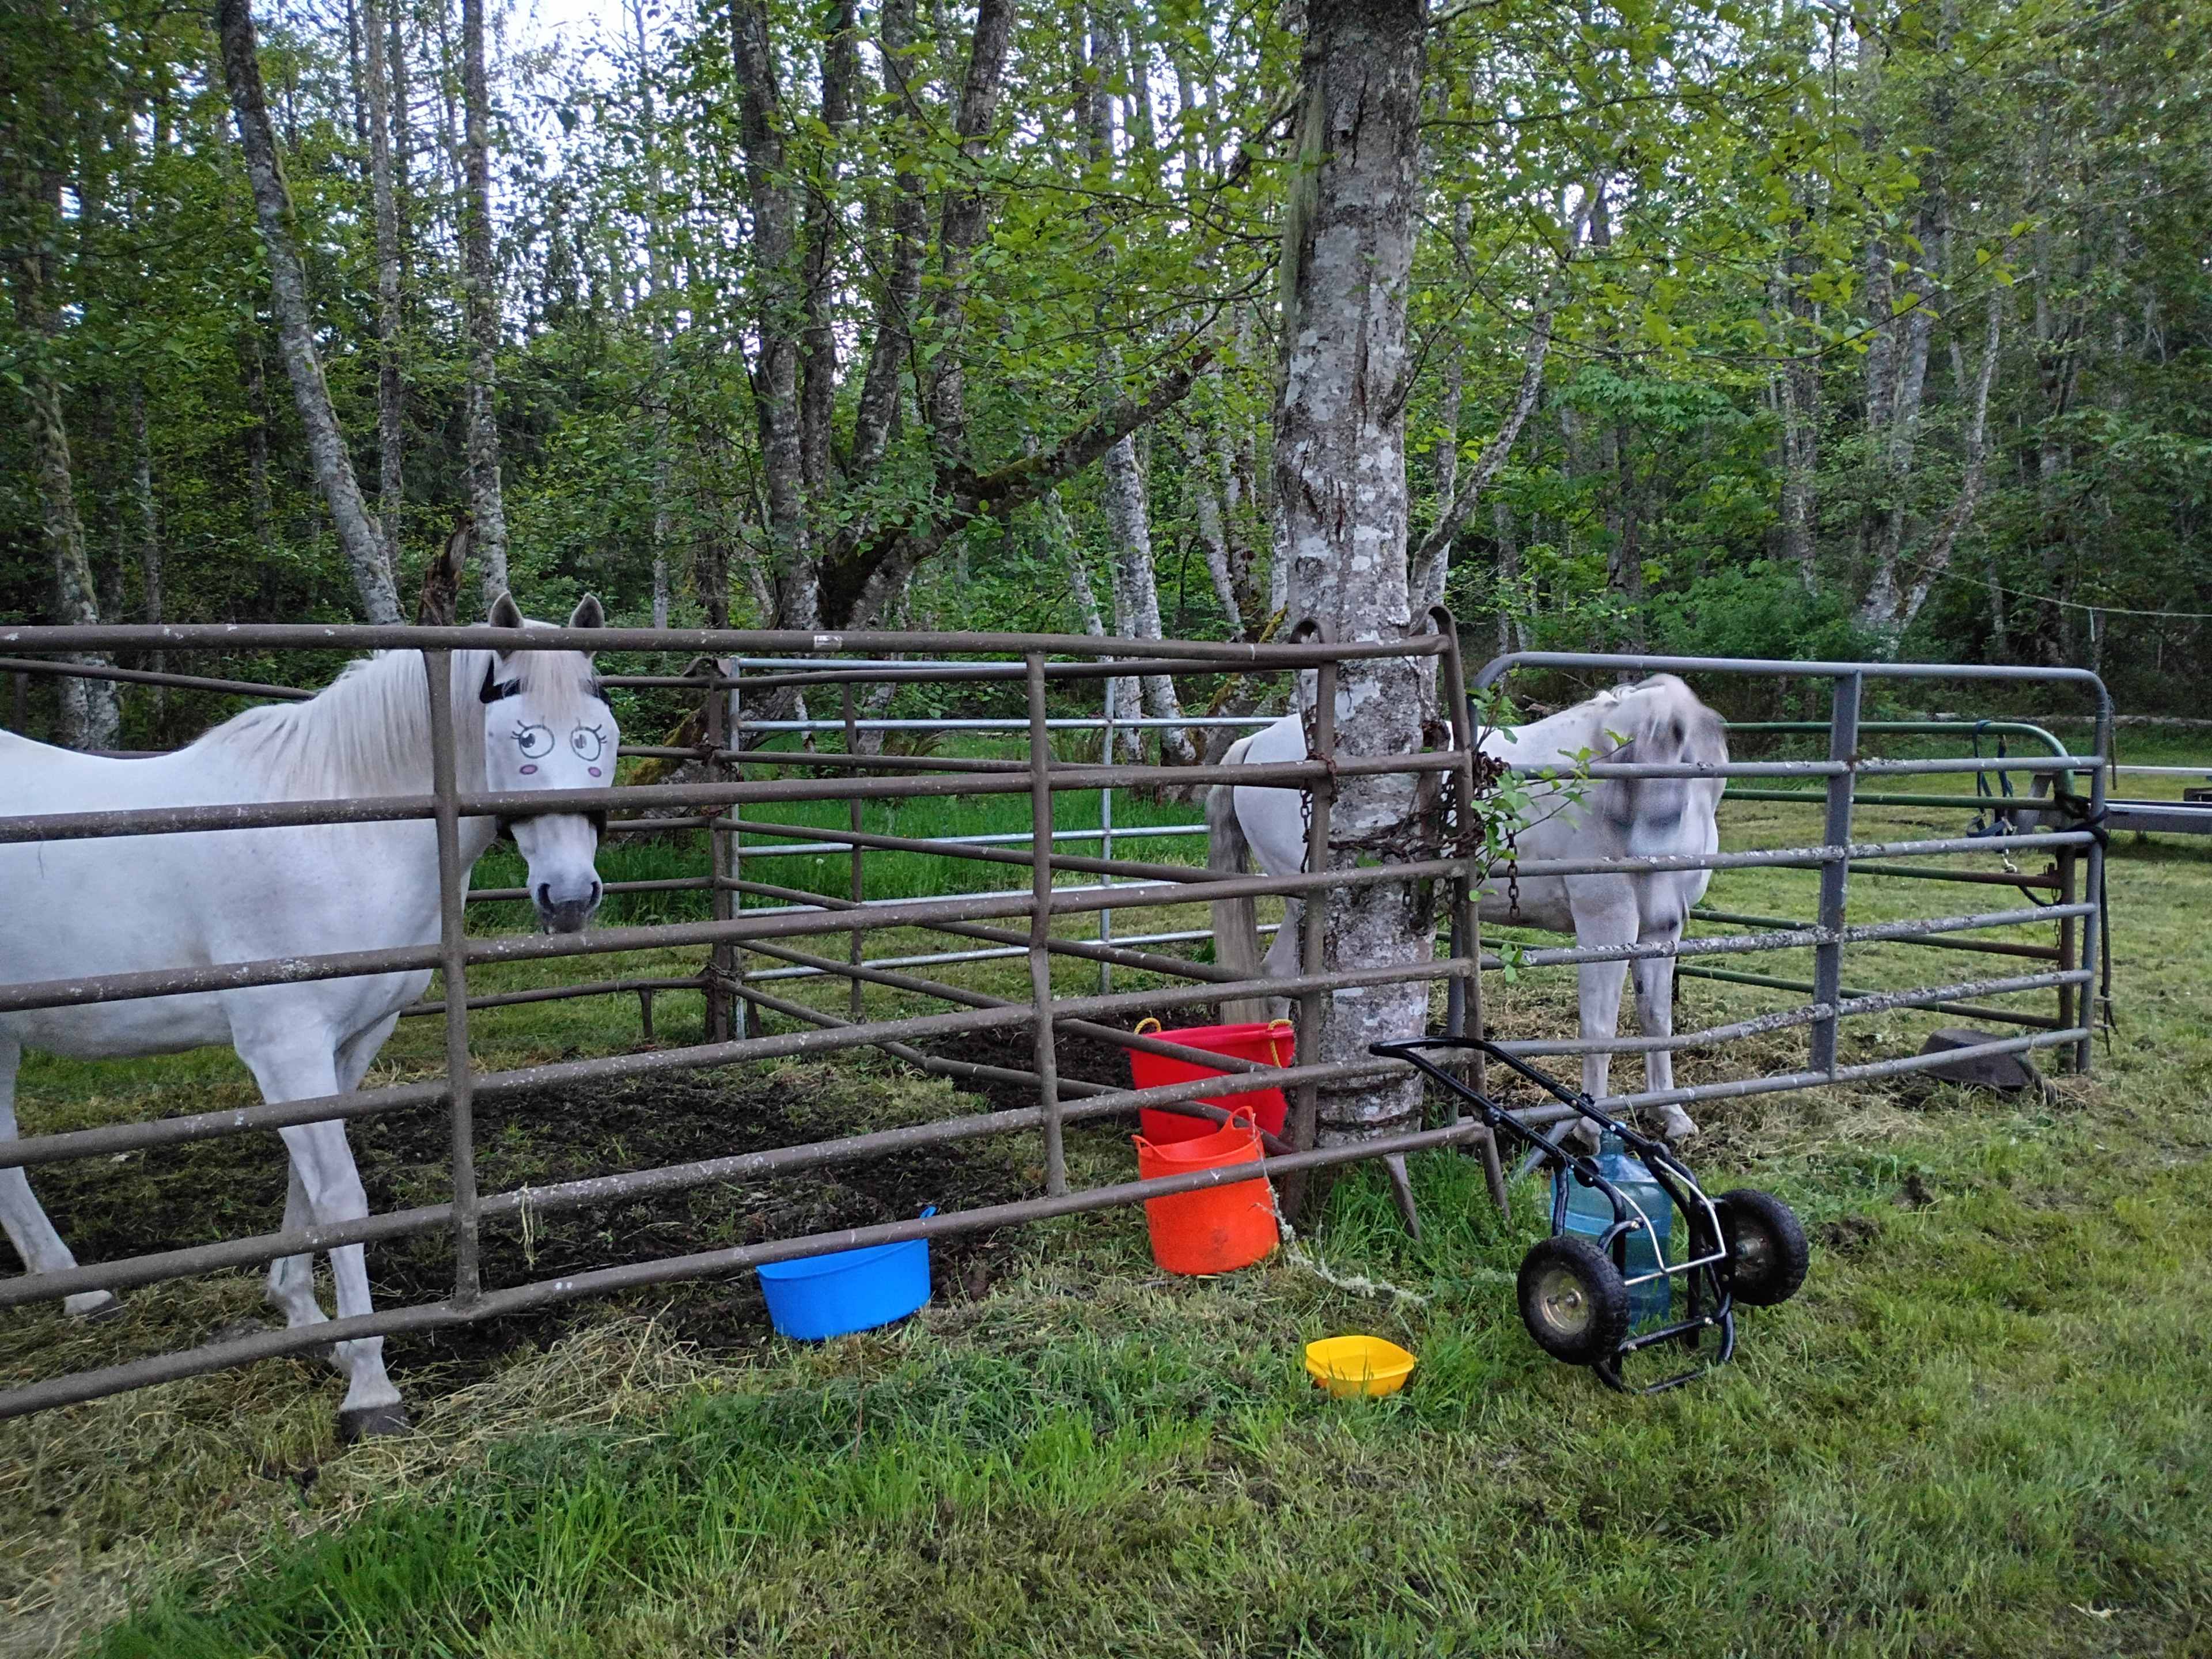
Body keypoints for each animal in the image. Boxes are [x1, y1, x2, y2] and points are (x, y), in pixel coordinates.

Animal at [0, 592, 617, 1438]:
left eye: (600, 736)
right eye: (520, 738)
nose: (569, 898)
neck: (336, 821)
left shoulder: (350, 1042)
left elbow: (307, 1187)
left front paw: (307, 1321)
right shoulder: (286, 1045)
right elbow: (343, 1197)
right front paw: (371, 1391)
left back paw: (79, 1292)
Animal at [1206, 674, 1727, 1142]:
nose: (1652, 857)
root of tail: (1255, 742)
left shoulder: (1660, 933)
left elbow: (1656, 1019)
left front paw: (1672, 1116)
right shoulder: (1606, 925)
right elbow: (1599, 1027)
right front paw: (1590, 1129)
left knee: (1275, 978)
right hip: (1305, 903)